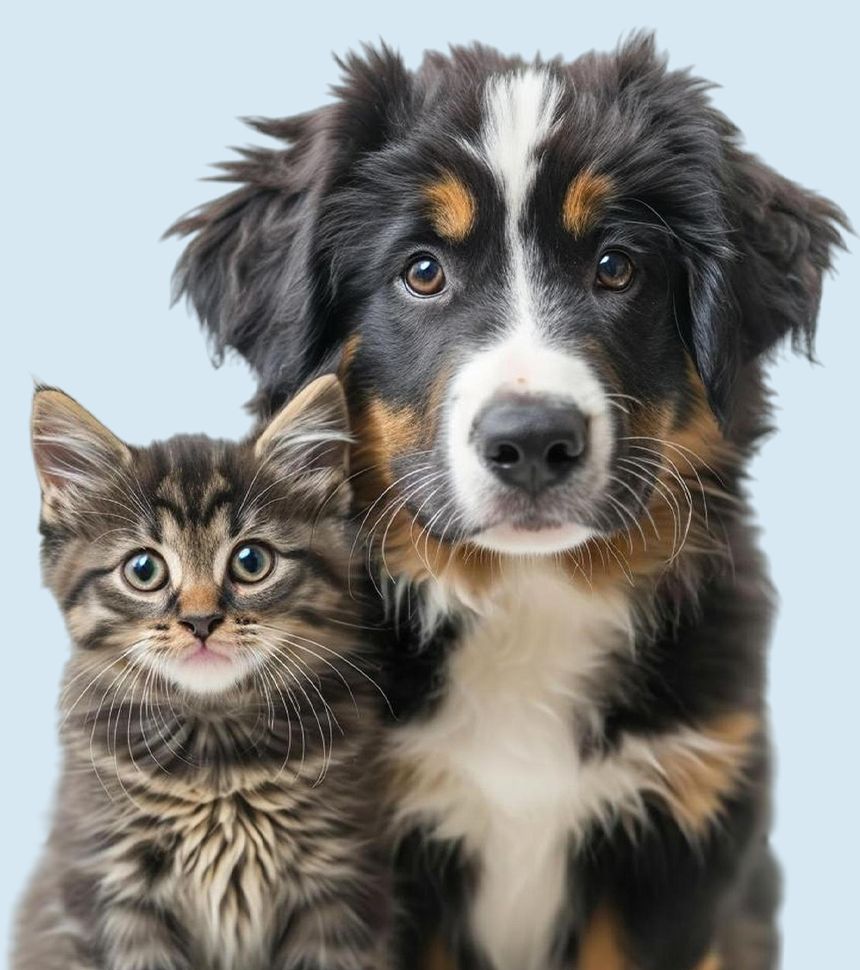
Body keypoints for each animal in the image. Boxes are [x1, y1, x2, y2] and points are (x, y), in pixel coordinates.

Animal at [13, 376, 392, 968]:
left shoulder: (342, 882)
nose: (200, 621)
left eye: (251, 561)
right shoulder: (110, 889)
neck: (216, 756)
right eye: (144, 568)